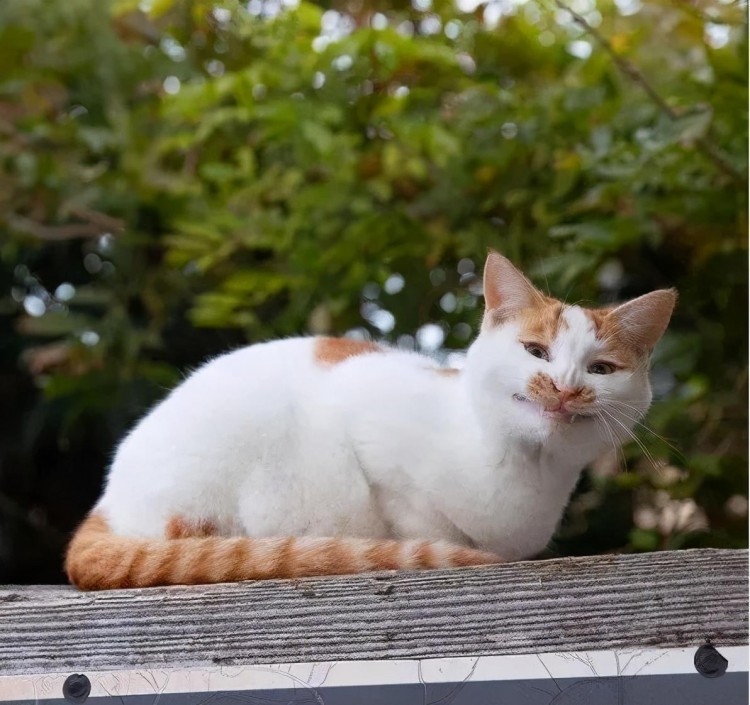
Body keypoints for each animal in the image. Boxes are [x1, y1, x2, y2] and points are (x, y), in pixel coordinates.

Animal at [63, 252, 676, 588]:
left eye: (600, 369)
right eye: (536, 352)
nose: (566, 388)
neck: (529, 468)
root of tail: (106, 502)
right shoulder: (372, 431)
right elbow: (418, 518)